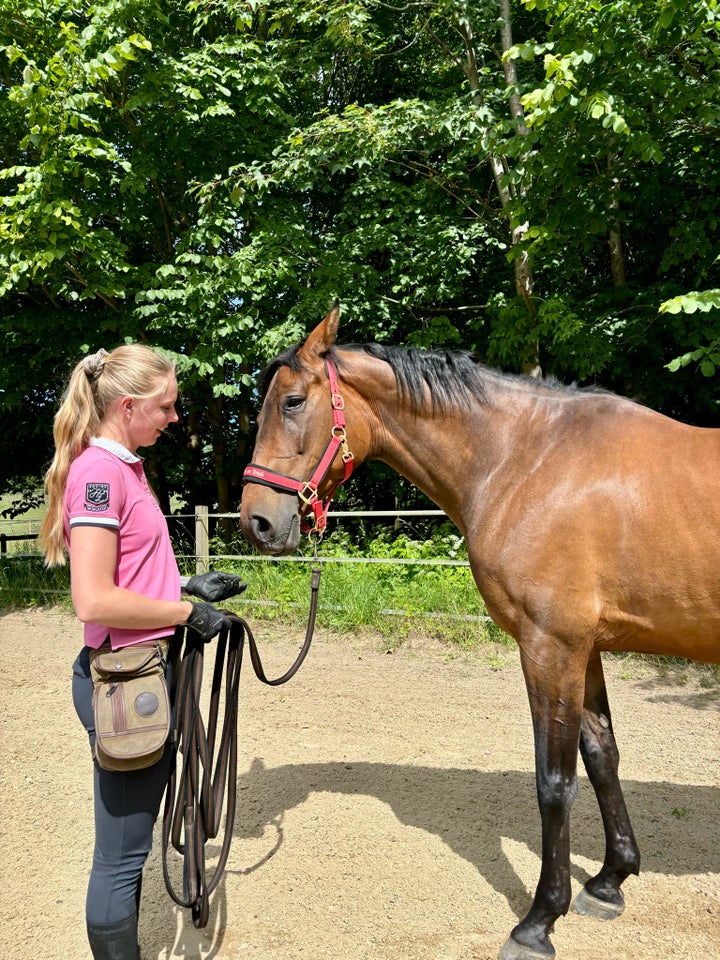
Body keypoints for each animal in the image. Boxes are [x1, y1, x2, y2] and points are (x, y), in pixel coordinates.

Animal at [242, 306, 720, 960]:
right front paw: (610, 880)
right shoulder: (586, 649)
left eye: (291, 402)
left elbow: (554, 782)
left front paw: (539, 921)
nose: (256, 522)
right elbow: (602, 756)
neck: (527, 460)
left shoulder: (550, 647)